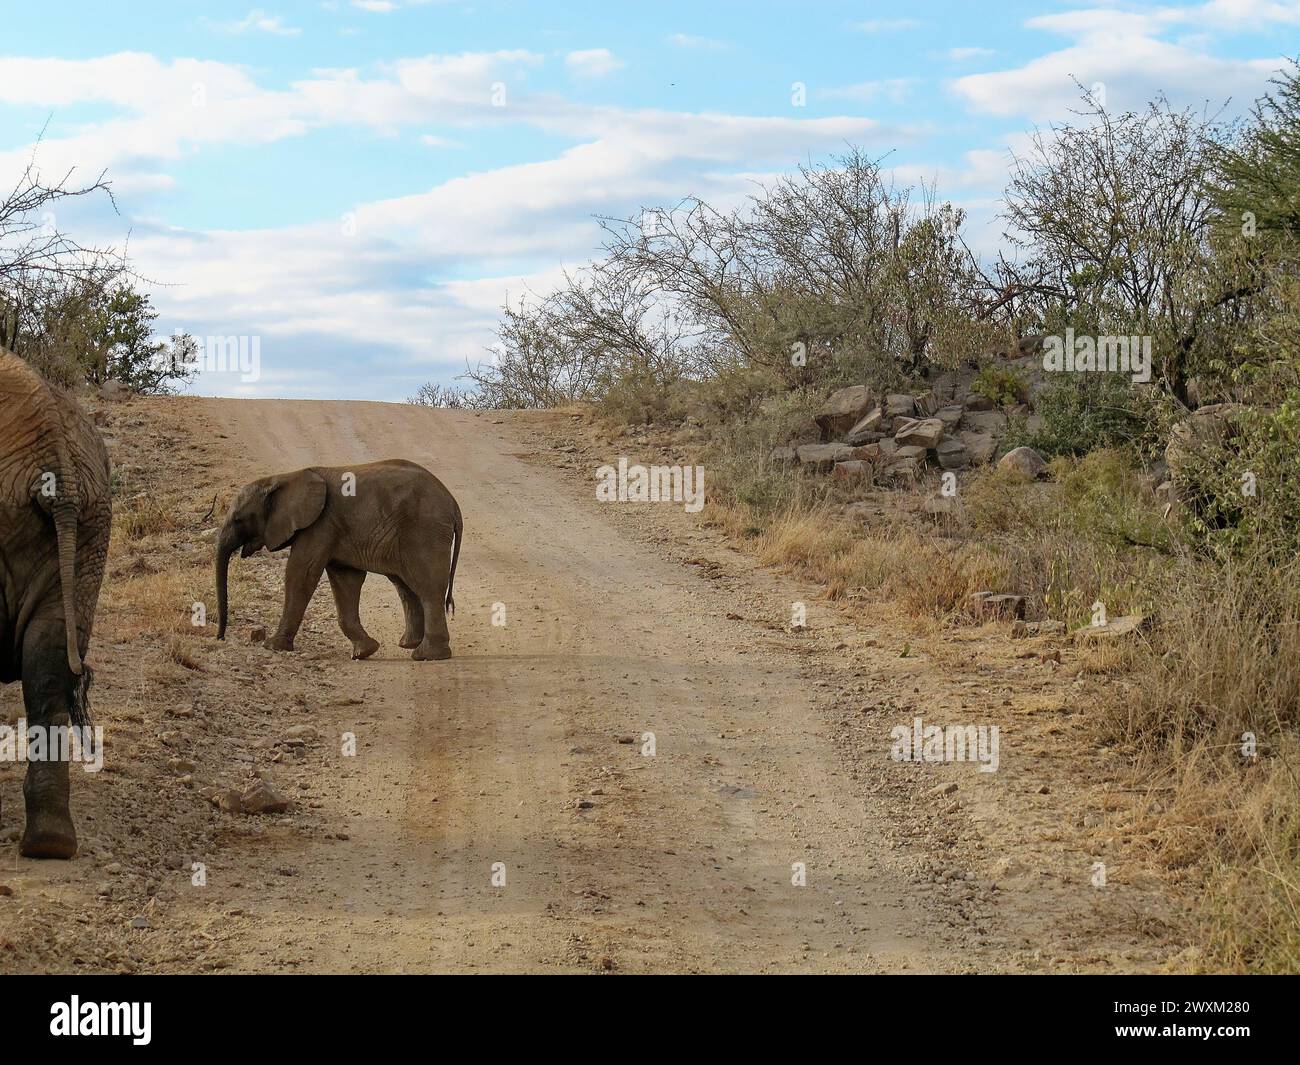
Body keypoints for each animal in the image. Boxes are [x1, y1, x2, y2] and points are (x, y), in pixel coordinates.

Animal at [219, 462, 467, 663]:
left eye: (238, 520)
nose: (220, 637)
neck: (283, 478)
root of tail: (453, 504)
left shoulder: (320, 524)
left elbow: (301, 573)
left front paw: (272, 646)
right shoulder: (334, 529)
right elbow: (345, 581)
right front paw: (364, 652)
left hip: (424, 530)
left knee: (427, 588)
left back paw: (426, 656)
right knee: (405, 586)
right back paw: (409, 645)